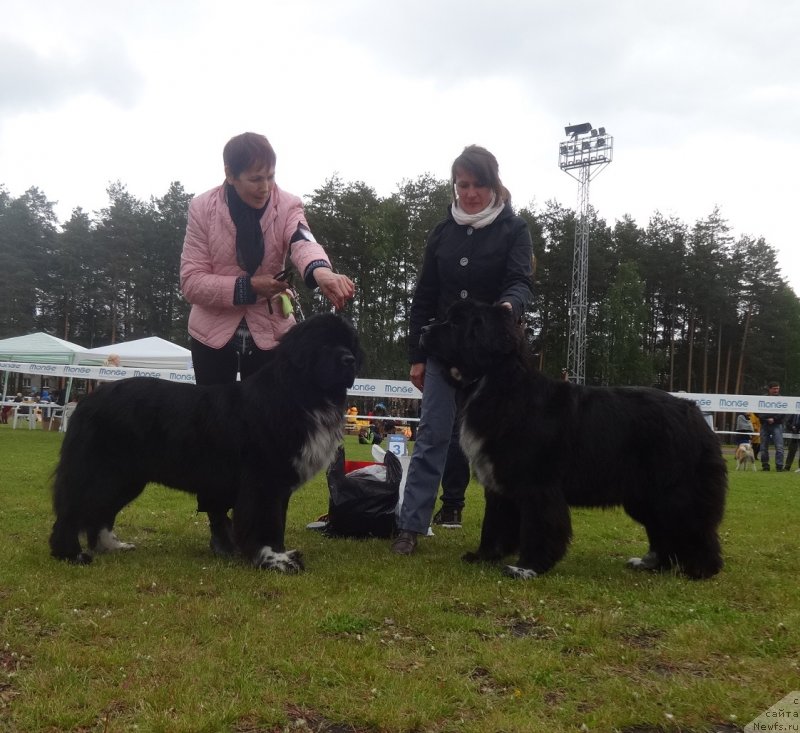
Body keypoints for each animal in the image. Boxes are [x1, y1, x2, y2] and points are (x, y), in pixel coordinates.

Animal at [48, 312, 360, 568]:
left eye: (348, 344)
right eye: (323, 343)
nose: (350, 361)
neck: (299, 394)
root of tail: (88, 400)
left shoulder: (279, 483)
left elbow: (276, 521)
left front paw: (278, 554)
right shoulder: (262, 480)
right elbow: (264, 521)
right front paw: (275, 559)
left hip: (126, 477)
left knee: (99, 510)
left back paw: (110, 545)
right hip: (101, 470)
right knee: (75, 508)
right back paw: (71, 554)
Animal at [422, 300, 728, 580]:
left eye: (456, 323)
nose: (423, 329)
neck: (497, 386)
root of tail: (695, 413)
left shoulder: (538, 486)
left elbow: (538, 528)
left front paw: (526, 567)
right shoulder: (500, 485)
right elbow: (495, 524)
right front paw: (484, 556)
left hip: (674, 491)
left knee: (694, 527)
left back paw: (700, 570)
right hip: (645, 495)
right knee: (665, 530)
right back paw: (651, 564)